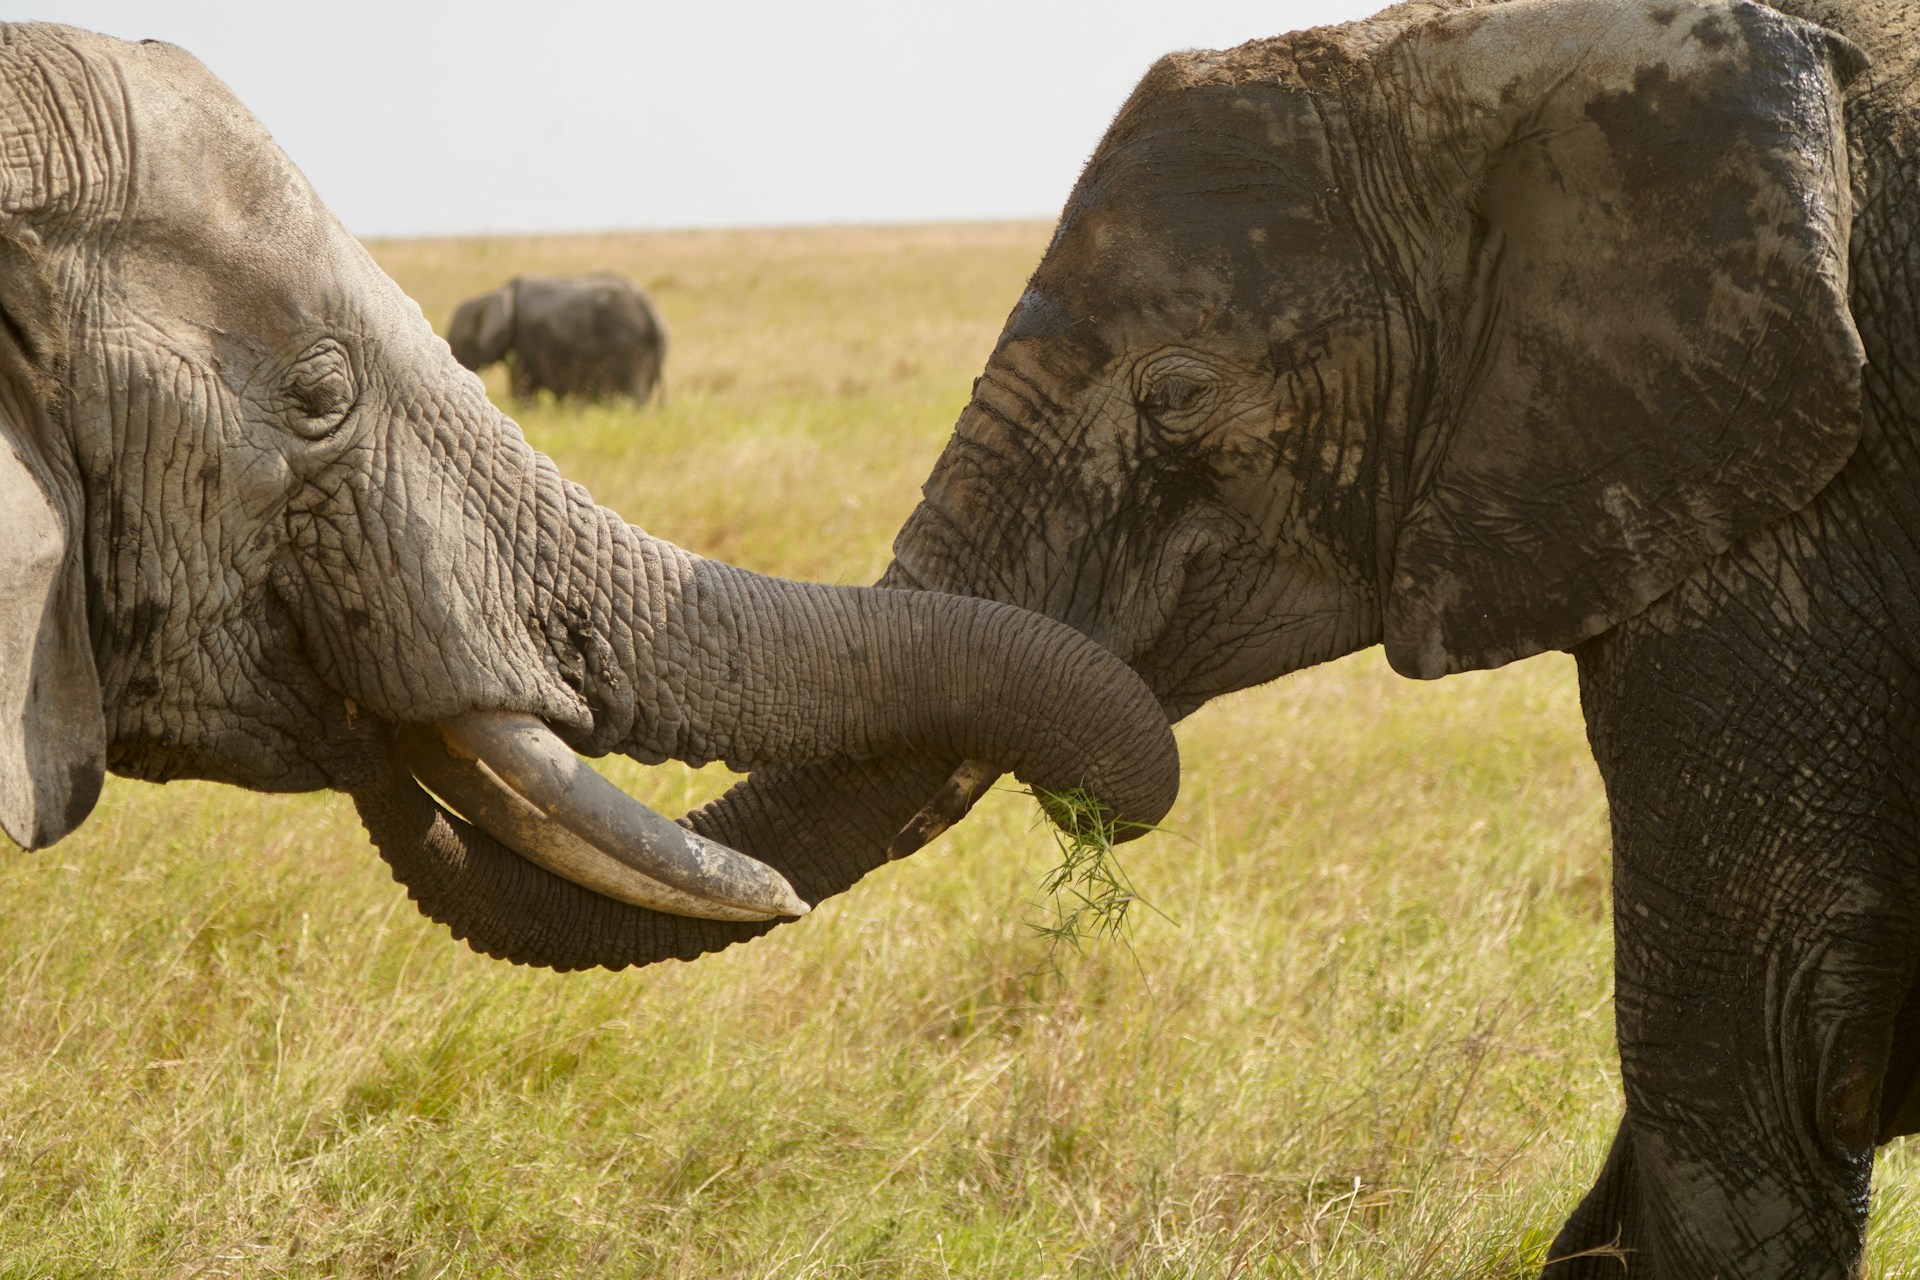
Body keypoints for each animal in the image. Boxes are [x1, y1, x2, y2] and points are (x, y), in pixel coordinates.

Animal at [446, 272, 667, 404]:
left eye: (462, 341)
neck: (501, 293)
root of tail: (653, 313)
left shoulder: (524, 343)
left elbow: (521, 384)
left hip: (627, 350)